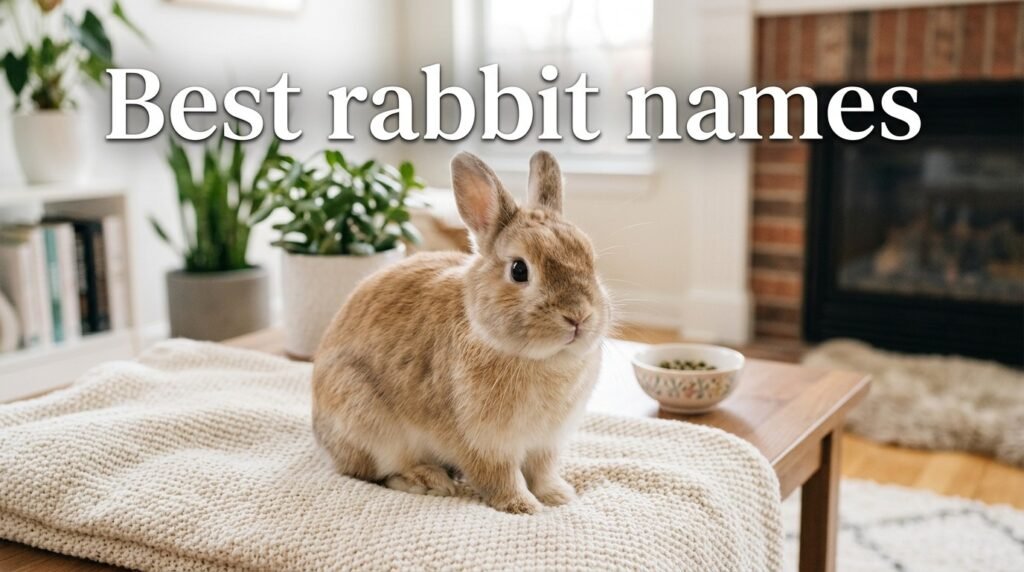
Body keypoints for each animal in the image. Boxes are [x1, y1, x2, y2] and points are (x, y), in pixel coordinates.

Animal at [311, 150, 611, 514]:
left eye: (591, 261)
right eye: (519, 270)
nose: (578, 316)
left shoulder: (546, 443)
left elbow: (542, 472)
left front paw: (558, 496)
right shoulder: (483, 443)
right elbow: (502, 478)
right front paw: (524, 507)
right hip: (367, 423)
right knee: (374, 471)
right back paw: (427, 480)